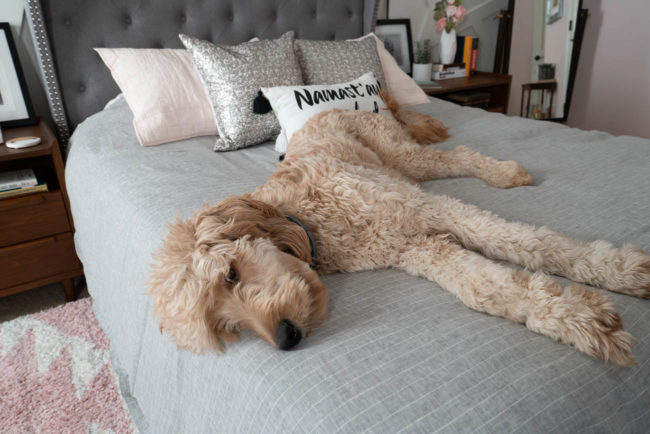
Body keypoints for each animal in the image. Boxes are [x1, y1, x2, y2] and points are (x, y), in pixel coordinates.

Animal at [149, 96, 648, 366]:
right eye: (228, 326)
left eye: (230, 274)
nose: (286, 339)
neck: (311, 221)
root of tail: (332, 107)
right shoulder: (415, 248)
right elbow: (486, 287)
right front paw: (579, 322)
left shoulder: (429, 209)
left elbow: (533, 243)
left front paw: (618, 271)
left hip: (406, 160)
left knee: (461, 156)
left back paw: (507, 174)